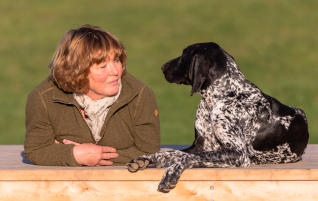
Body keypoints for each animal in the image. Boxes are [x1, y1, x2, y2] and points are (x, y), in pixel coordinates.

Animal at [126, 42, 308, 192]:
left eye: (184, 56)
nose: (162, 67)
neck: (219, 97)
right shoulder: (201, 146)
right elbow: (171, 153)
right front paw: (147, 158)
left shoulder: (238, 153)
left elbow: (188, 157)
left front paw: (172, 171)